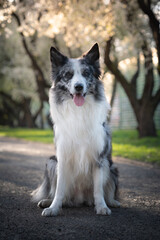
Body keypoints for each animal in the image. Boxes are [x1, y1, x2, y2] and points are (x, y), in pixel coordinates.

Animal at [31, 43, 120, 218]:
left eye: (86, 73)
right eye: (68, 75)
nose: (79, 87)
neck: (79, 110)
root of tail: (81, 199)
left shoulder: (99, 157)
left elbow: (98, 189)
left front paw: (102, 207)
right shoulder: (62, 156)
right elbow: (59, 189)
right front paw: (53, 208)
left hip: (111, 166)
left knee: (107, 191)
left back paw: (112, 202)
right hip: (51, 162)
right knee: (61, 194)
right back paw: (48, 201)